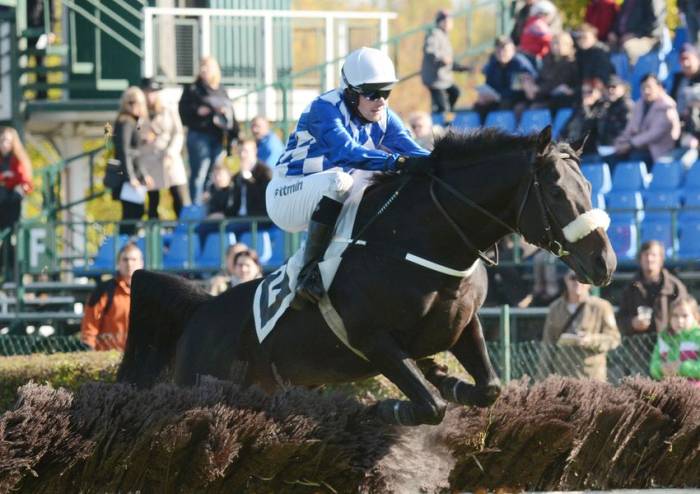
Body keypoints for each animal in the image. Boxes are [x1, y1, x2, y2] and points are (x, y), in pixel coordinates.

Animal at [117, 125, 616, 426]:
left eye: (590, 185)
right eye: (556, 191)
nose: (605, 263)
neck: (422, 241)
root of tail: (200, 310)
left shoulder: (464, 325)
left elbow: (488, 389)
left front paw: (443, 374)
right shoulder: (372, 340)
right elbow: (430, 407)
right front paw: (390, 406)